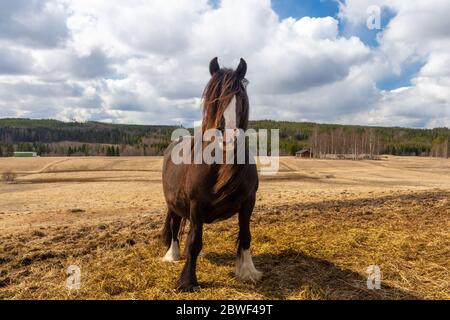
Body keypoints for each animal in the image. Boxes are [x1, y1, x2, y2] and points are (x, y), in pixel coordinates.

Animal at [162, 57, 262, 292]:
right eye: (214, 98)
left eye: (240, 97)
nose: (228, 138)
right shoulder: (196, 205)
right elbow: (194, 241)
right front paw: (187, 281)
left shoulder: (248, 202)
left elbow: (246, 235)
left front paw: (248, 271)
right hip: (173, 205)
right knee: (174, 226)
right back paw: (172, 254)